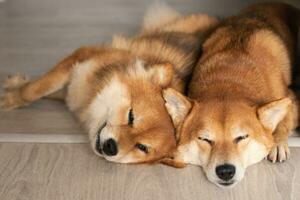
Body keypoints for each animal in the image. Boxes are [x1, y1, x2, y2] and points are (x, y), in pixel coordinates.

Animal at [163, 2, 298, 188]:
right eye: (204, 139)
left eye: (241, 137)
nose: (225, 171)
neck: (228, 81)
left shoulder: (292, 100)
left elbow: (284, 120)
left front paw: (277, 143)